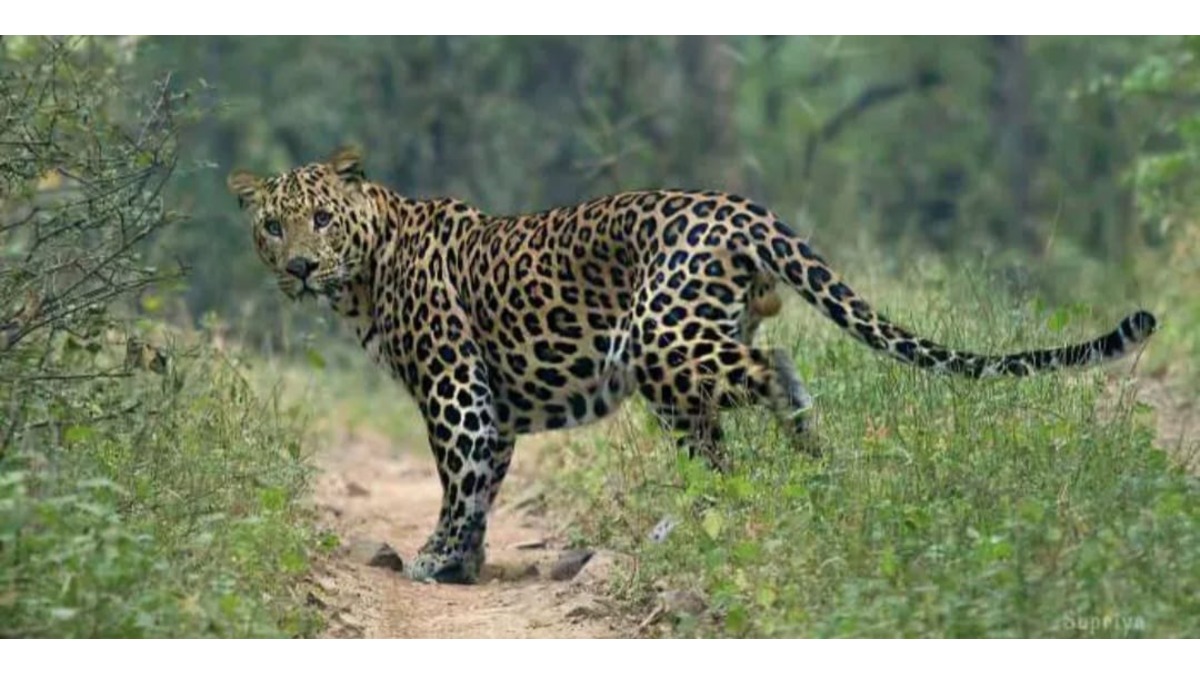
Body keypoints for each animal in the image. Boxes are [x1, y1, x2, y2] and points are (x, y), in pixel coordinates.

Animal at [226, 146, 1157, 584]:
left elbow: (459, 480)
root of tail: (744, 208)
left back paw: (804, 453)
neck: (367, 269)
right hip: (678, 368)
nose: (297, 267)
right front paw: (465, 562)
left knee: (775, 368)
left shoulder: (456, 387)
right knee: (720, 447)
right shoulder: (490, 404)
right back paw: (725, 509)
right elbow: (483, 482)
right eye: (272, 225)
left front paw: (435, 559)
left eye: (319, 218)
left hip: (660, 336)